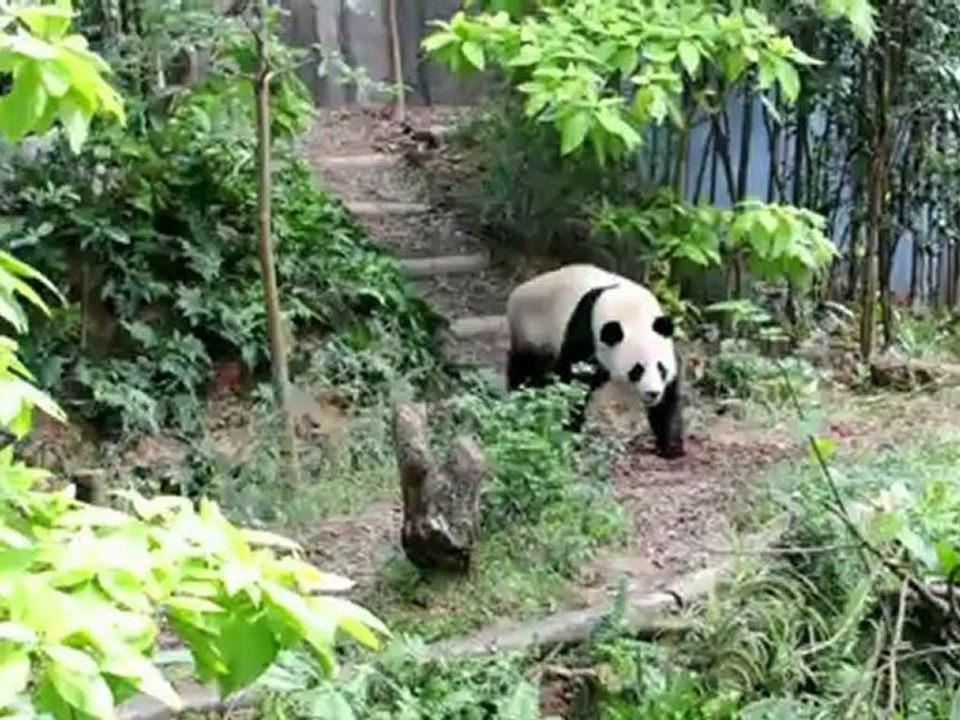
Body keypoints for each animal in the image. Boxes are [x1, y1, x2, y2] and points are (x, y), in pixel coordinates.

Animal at [505, 263, 684, 459]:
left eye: (661, 368)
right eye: (637, 370)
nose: (653, 393)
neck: (630, 312)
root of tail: (519, 291)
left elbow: (668, 401)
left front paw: (671, 446)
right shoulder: (585, 331)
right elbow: (572, 384)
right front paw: (569, 435)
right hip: (533, 332)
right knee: (526, 371)